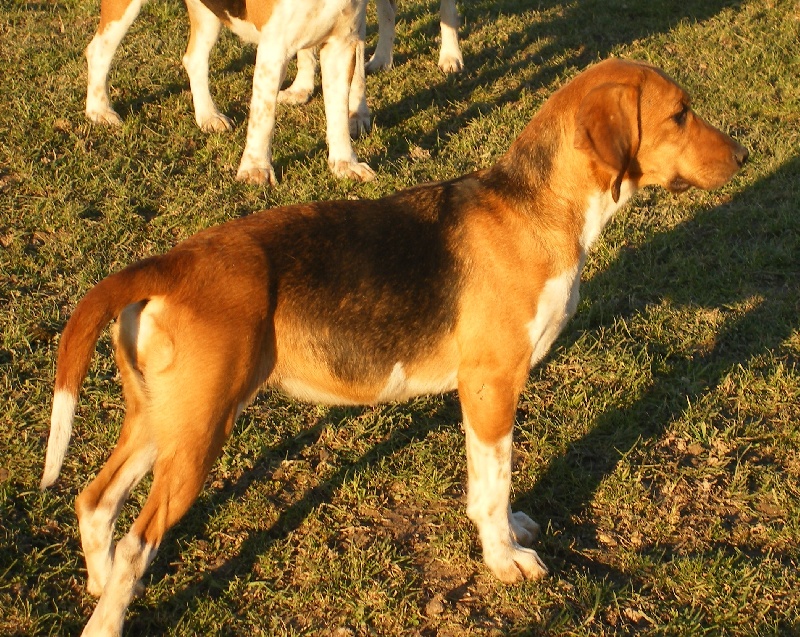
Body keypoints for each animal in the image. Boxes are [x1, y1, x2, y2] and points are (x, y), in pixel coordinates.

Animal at [42, 59, 744, 636]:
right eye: (680, 114)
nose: (743, 154)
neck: (536, 205)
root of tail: (171, 263)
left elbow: (495, 488)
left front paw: (510, 533)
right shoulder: (492, 387)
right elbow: (492, 484)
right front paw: (504, 558)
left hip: (162, 421)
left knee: (95, 503)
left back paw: (100, 586)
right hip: (197, 435)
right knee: (136, 542)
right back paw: (109, 618)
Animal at [85, 0, 376, 184]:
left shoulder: (342, 44)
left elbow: (338, 116)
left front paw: (344, 164)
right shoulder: (274, 48)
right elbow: (263, 117)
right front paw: (255, 169)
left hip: (209, 14)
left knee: (194, 59)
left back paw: (208, 116)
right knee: (98, 49)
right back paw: (99, 111)